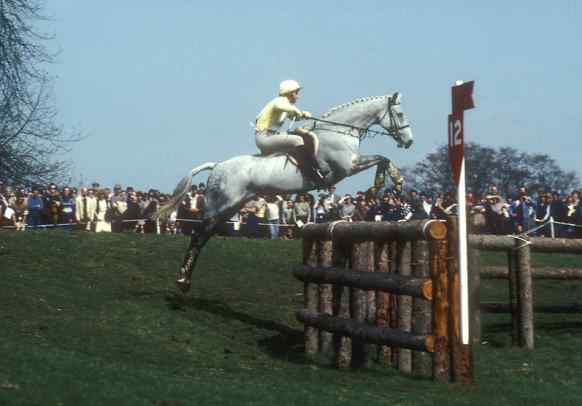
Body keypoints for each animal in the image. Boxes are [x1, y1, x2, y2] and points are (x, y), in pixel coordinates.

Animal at [159, 91, 416, 292]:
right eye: (400, 115)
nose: (409, 142)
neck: (338, 132)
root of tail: (217, 166)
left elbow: (382, 158)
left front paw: (385, 182)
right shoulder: (348, 167)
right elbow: (382, 158)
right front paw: (391, 181)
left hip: (231, 207)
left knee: (204, 236)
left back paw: (185, 280)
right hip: (222, 205)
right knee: (197, 235)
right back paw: (183, 280)